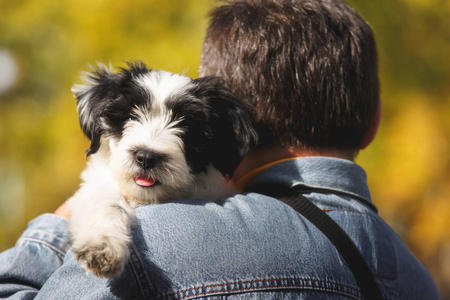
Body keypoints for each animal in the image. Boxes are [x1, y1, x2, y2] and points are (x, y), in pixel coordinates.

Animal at [67, 61, 256, 278]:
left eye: (186, 125)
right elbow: (107, 204)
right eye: (131, 116)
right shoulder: (97, 187)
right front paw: (102, 245)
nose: (146, 157)